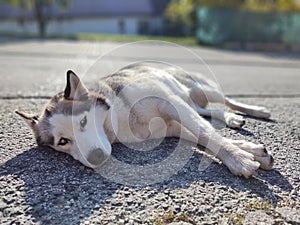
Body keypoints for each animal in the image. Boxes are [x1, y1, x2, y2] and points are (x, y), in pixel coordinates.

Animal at [15, 62, 274, 178]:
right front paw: (251, 151)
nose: (96, 157)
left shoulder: (171, 104)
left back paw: (256, 110)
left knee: (224, 99)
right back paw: (231, 118)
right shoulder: (171, 127)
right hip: (191, 99)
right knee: (206, 111)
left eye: (83, 121)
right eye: (62, 142)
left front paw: (238, 158)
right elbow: (203, 134)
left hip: (200, 88)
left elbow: (206, 132)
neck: (119, 117)